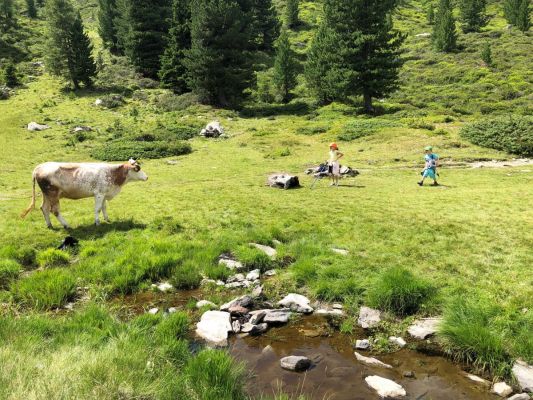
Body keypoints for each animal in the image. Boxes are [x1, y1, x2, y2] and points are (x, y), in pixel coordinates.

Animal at [20, 159, 148, 228]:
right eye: (138, 169)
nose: (147, 177)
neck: (112, 173)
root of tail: (39, 167)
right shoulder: (99, 194)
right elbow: (98, 209)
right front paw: (97, 222)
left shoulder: (104, 194)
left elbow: (104, 207)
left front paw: (107, 219)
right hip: (53, 194)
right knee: (54, 210)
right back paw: (66, 225)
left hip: (46, 195)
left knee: (44, 208)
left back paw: (49, 225)